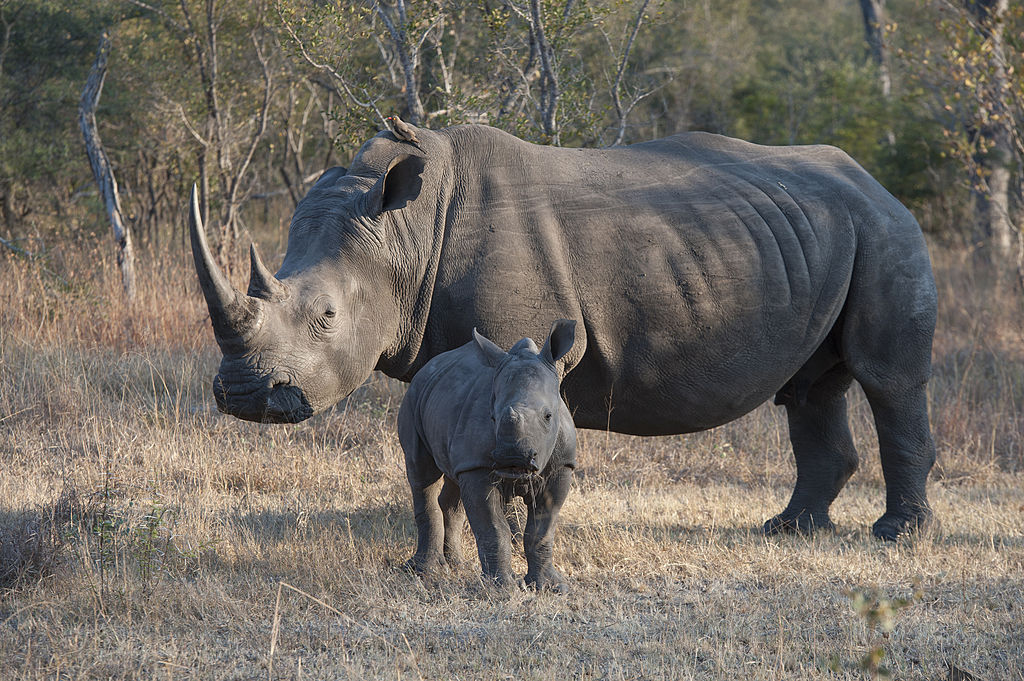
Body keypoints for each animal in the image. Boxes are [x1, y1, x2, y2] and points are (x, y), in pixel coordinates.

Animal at [189, 122, 938, 541]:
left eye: (326, 317)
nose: (242, 396)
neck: (405, 235)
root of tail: (877, 183)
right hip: (818, 232)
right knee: (811, 388)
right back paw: (788, 530)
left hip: (886, 230)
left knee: (888, 379)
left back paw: (895, 536)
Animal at [398, 319, 577, 590]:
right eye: (492, 418)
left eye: (548, 416)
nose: (513, 458)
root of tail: (427, 367)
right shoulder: (478, 465)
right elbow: (493, 528)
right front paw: (502, 589)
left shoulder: (561, 466)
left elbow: (542, 530)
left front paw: (551, 587)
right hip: (413, 398)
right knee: (422, 473)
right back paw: (426, 572)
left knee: (453, 486)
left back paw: (457, 565)